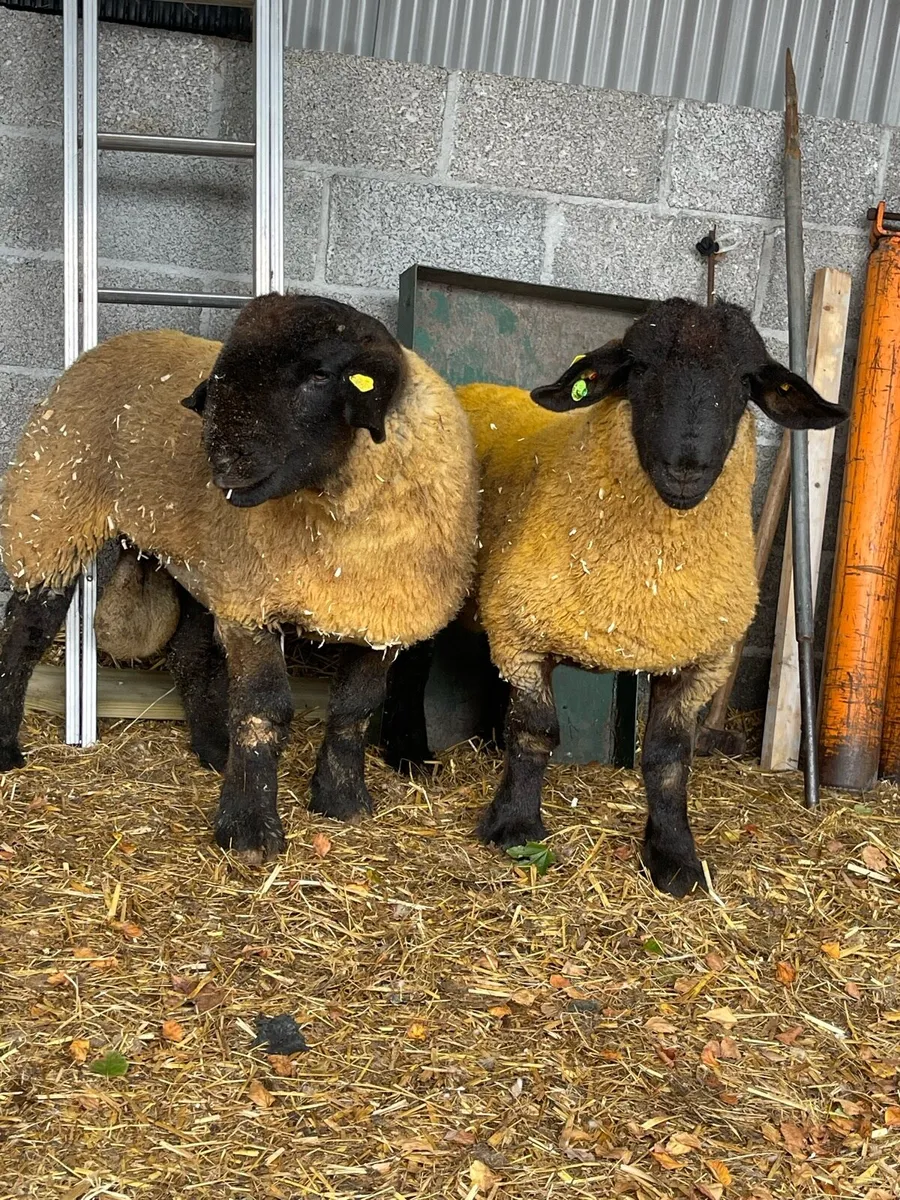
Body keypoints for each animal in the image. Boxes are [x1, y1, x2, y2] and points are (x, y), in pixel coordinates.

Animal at [0, 293, 479, 860]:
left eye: (321, 375)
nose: (223, 461)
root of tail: (113, 345)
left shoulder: (382, 616)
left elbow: (355, 709)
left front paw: (341, 801)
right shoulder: (252, 603)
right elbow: (262, 710)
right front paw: (248, 828)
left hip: (197, 557)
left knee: (187, 655)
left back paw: (211, 747)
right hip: (50, 510)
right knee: (24, 635)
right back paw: (5, 745)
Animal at [382, 298, 847, 896]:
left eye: (745, 380)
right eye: (640, 368)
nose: (686, 468)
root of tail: (473, 388)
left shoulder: (701, 659)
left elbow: (669, 758)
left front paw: (675, 856)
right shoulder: (526, 634)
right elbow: (536, 732)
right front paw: (515, 826)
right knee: (412, 662)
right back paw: (408, 753)